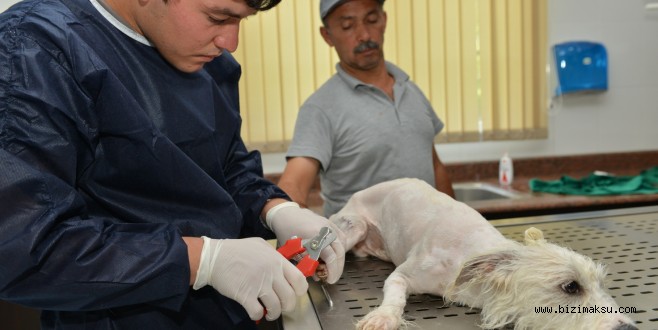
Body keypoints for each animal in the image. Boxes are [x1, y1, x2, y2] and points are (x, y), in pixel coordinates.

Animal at [328, 179, 636, 328]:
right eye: (571, 286)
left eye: (602, 285)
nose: (628, 329)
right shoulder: (406, 274)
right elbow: (394, 293)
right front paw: (383, 318)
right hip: (353, 225)